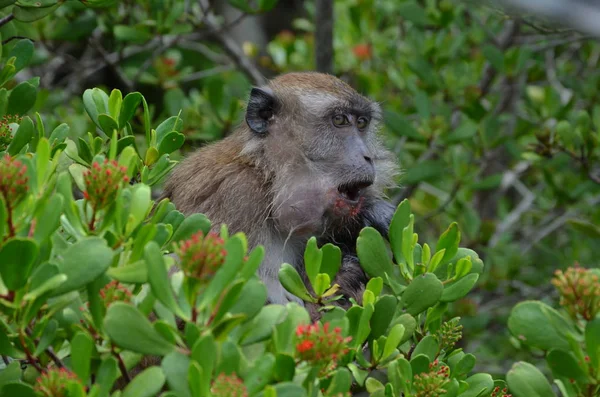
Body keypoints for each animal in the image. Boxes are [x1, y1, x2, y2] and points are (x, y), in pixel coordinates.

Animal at [162, 72, 400, 310]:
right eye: (340, 120)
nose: (368, 156)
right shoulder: (235, 197)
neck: (267, 175)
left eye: (361, 123)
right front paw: (347, 273)